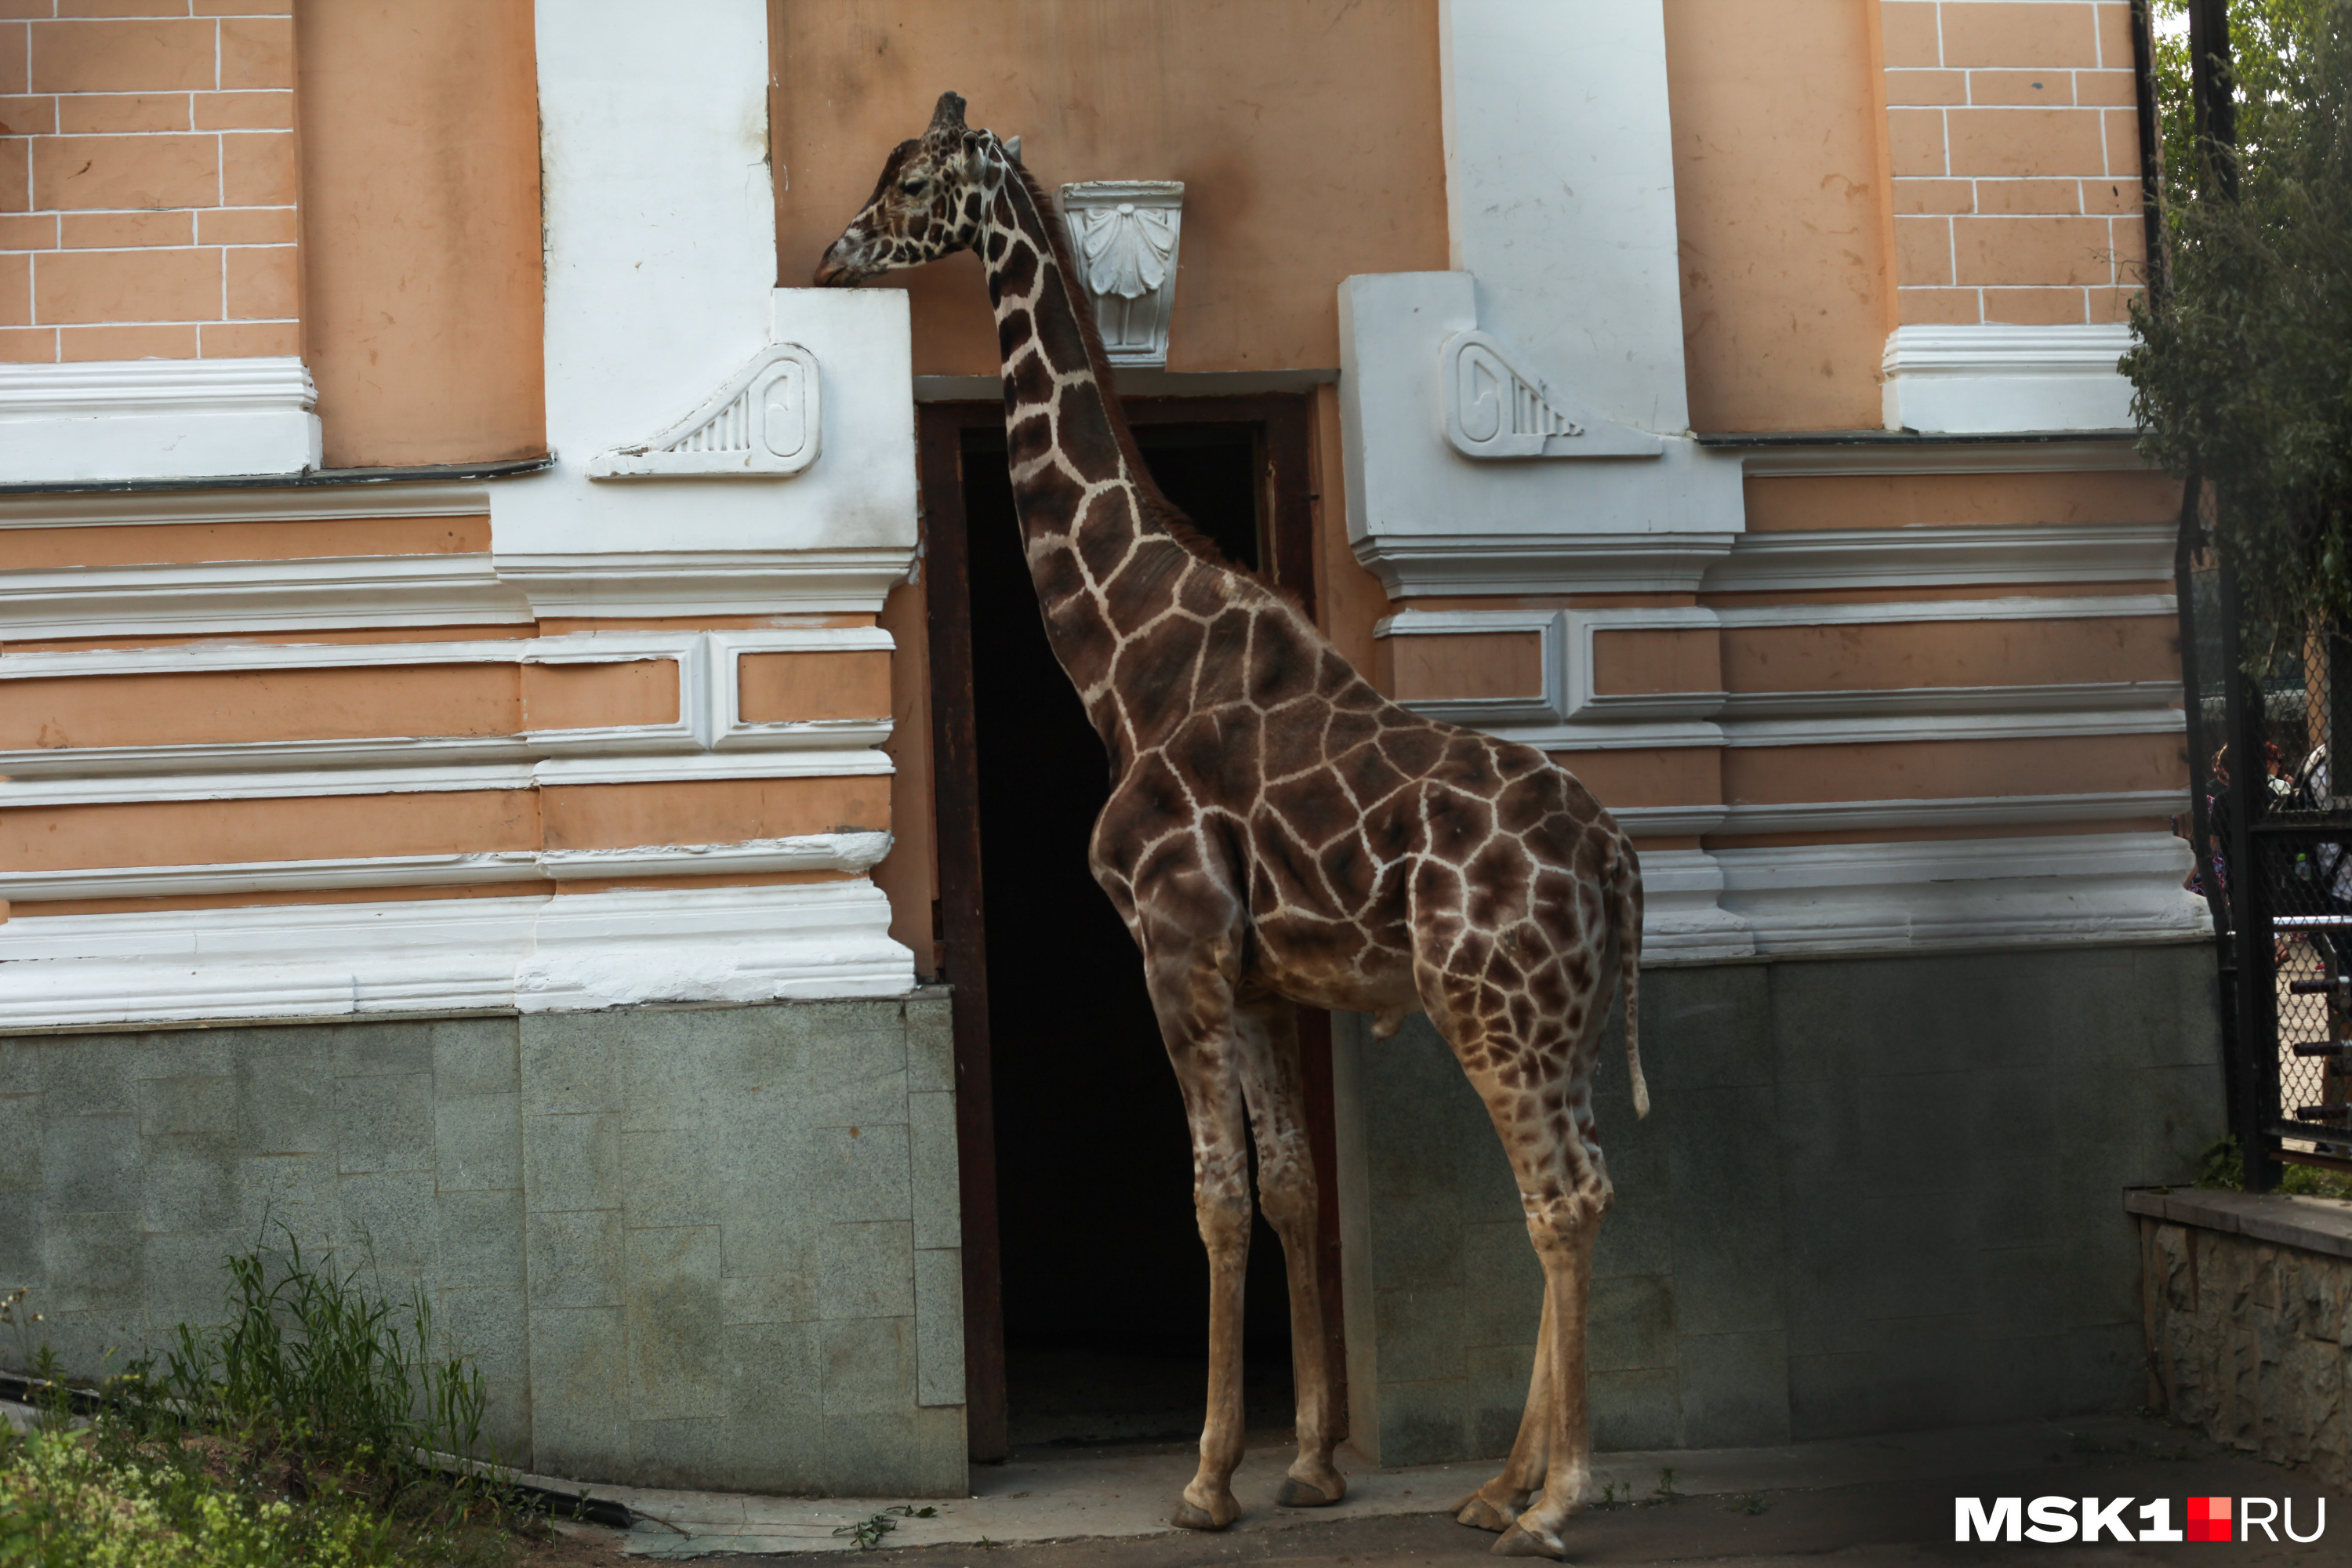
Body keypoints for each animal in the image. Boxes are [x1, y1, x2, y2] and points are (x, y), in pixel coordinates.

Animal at [823, 95, 1656, 1561]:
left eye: (915, 180)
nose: (834, 250)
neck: (1123, 659)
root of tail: (1612, 856)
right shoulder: (1265, 979)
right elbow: (1292, 1188)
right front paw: (1312, 1463)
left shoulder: (1178, 949)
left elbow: (1213, 1195)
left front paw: (1209, 1476)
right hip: (1552, 1014)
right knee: (1583, 1186)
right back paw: (1499, 1484)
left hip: (1495, 1003)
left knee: (1562, 1196)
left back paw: (1550, 1497)